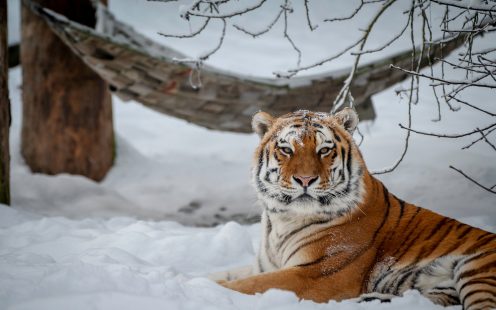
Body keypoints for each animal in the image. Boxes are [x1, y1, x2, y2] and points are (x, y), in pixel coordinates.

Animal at [211, 108, 496, 308]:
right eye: (286, 149)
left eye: (324, 150)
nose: (305, 180)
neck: (282, 220)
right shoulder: (264, 265)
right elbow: (224, 274)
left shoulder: (316, 272)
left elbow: (245, 285)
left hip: (477, 271)